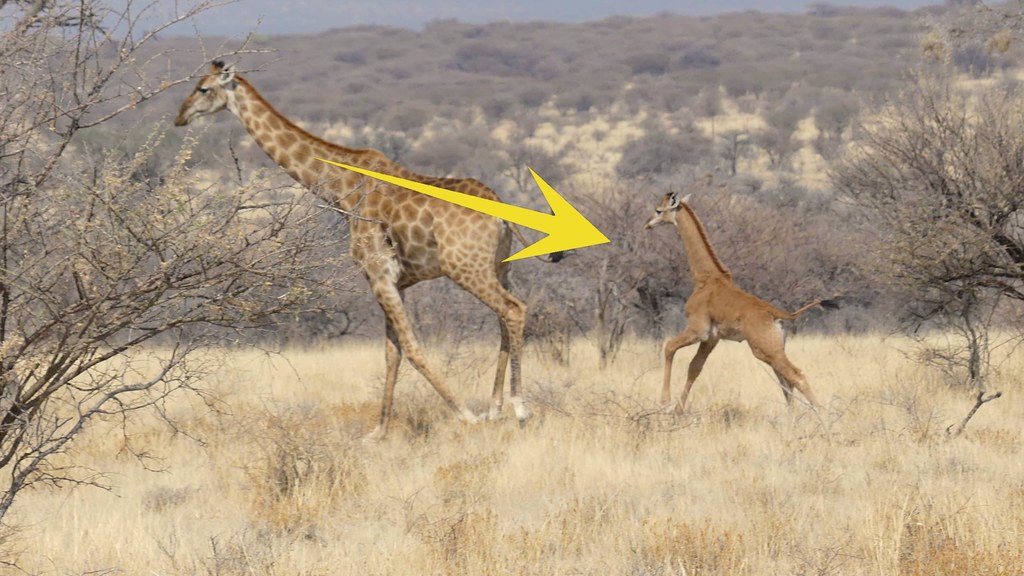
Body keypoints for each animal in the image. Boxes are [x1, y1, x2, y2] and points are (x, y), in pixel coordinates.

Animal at [174, 62, 544, 436]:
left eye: (203, 89)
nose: (180, 116)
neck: (342, 190)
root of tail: (501, 211)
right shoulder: (396, 281)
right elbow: (392, 352)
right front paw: (379, 431)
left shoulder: (378, 274)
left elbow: (410, 347)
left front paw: (465, 415)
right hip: (499, 267)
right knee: (503, 317)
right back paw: (496, 407)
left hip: (466, 267)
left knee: (513, 309)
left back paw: (519, 408)